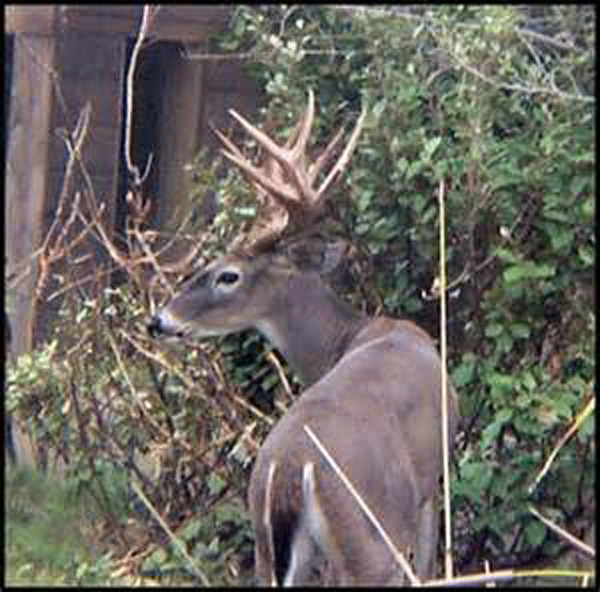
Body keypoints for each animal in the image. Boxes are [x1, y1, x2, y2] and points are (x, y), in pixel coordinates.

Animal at [149, 90, 460, 584]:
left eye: (227, 274)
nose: (158, 320)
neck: (352, 334)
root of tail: (291, 471)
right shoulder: (432, 485)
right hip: (371, 544)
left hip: (268, 546)